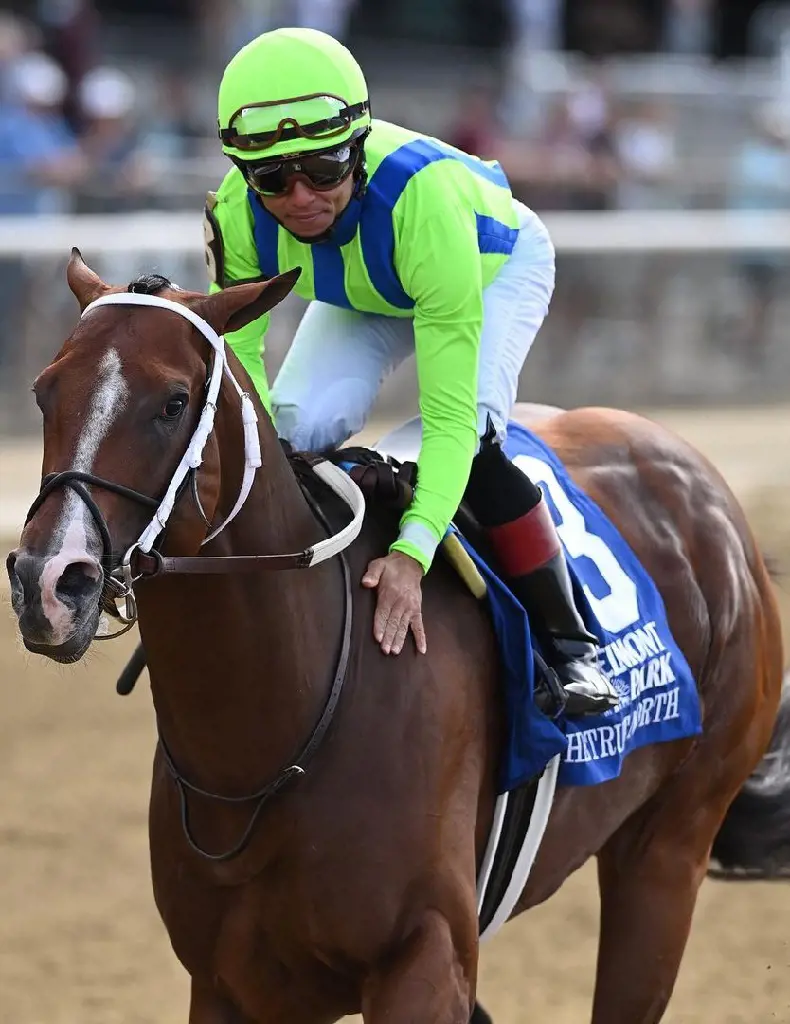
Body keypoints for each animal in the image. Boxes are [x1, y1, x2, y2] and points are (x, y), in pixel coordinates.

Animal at [4, 249, 782, 1024]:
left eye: (171, 402)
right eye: (44, 392)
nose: (51, 581)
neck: (272, 741)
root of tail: (707, 493)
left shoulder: (425, 960)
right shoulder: (230, 984)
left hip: (666, 853)